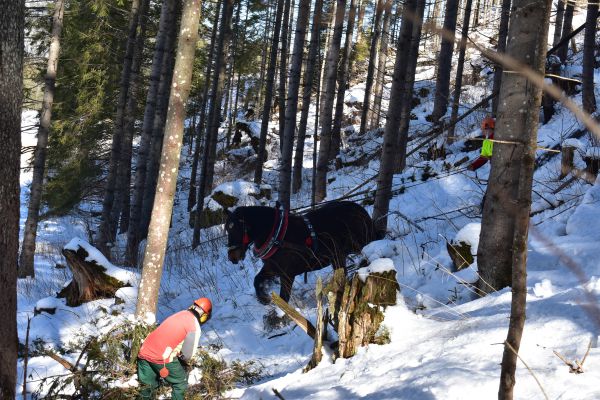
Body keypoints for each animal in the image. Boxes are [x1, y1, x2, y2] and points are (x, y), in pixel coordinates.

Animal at [223, 202, 382, 304]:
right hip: (338, 256)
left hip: (361, 243)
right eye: (227, 229)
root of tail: (359, 209)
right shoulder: (272, 268)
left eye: (238, 228)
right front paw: (264, 299)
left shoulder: (287, 274)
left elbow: (284, 297)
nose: (232, 256)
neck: (277, 235)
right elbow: (257, 280)